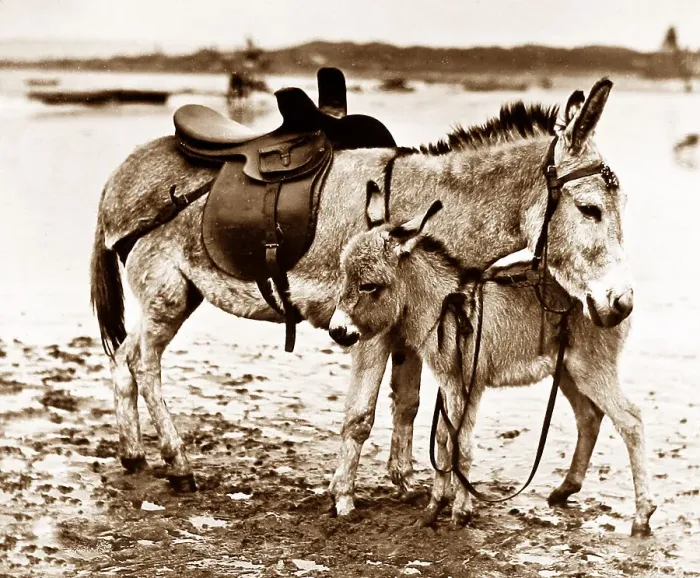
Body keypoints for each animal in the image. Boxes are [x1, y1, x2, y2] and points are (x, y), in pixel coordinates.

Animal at [90, 77, 631, 517]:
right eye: (590, 210)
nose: (622, 303)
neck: (430, 211)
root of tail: (123, 170)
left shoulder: (412, 326)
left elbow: (410, 404)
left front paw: (408, 484)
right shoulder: (368, 328)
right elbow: (360, 415)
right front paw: (344, 498)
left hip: (177, 295)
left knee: (123, 356)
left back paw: (133, 453)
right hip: (165, 292)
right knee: (144, 363)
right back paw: (178, 464)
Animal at [328, 181, 655, 536]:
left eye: (368, 286)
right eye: (344, 277)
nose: (337, 331)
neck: (445, 304)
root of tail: (613, 299)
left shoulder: (467, 384)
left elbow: (460, 443)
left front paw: (460, 511)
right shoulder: (450, 381)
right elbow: (443, 440)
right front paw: (434, 508)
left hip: (591, 368)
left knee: (631, 420)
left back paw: (642, 516)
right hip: (568, 370)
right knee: (589, 416)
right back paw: (565, 489)